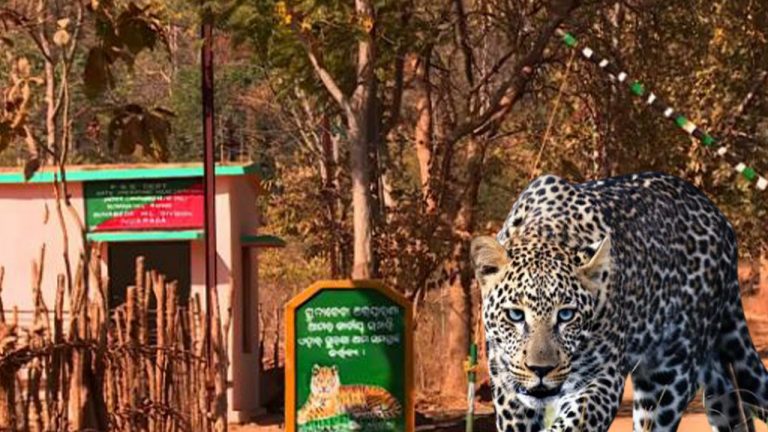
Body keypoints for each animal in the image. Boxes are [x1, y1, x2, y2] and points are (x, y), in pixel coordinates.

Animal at [470, 172, 768, 432]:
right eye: (515, 315)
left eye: (566, 315)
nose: (540, 370)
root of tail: (721, 220)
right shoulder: (507, 388)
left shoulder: (602, 377)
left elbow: (574, 422)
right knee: (724, 391)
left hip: (669, 373)